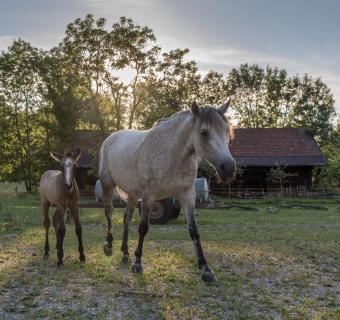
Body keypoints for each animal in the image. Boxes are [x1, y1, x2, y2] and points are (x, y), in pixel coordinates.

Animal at [99, 101, 235, 282]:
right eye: (204, 132)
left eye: (227, 131)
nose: (229, 168)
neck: (171, 154)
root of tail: (110, 139)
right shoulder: (149, 198)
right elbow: (143, 228)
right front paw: (138, 263)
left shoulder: (187, 196)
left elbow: (194, 230)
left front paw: (205, 269)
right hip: (108, 185)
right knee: (109, 213)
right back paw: (109, 246)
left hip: (133, 195)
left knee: (126, 218)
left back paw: (125, 253)